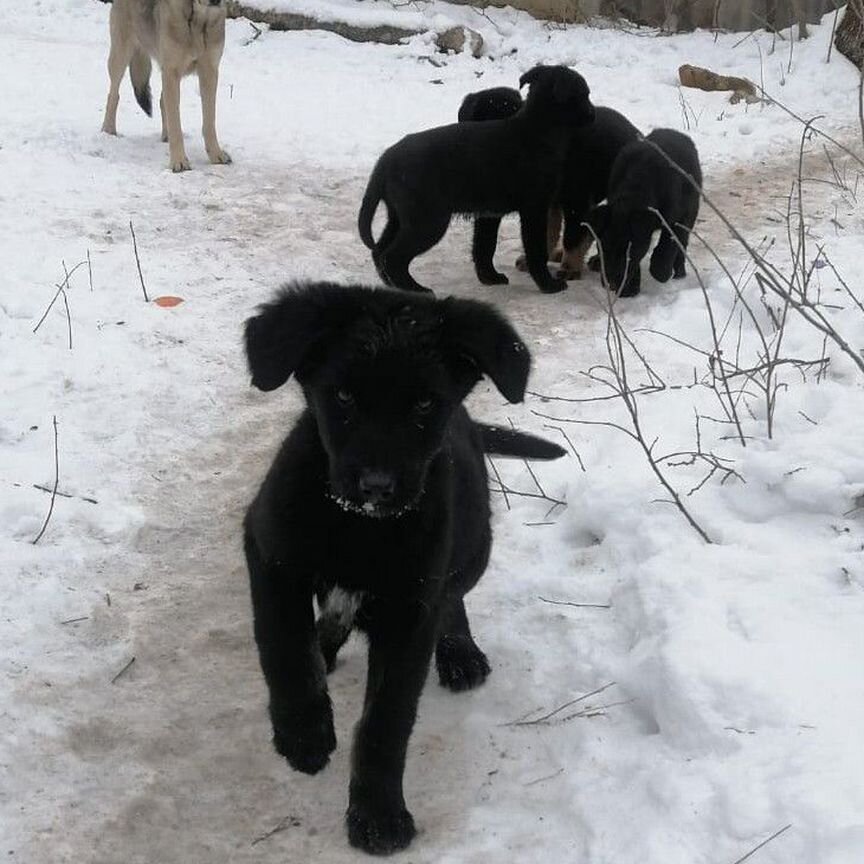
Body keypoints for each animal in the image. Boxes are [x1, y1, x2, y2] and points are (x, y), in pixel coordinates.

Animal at [101, 0, 231, 172]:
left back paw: (165, 135)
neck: (198, 17)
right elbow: (176, 124)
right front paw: (179, 161)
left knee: (163, 101)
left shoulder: (209, 72)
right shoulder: (171, 71)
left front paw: (216, 155)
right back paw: (108, 130)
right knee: (113, 94)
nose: (215, 2)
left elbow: (209, 121)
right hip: (120, 56)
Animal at [243, 282, 568, 852]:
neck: (357, 526)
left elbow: (386, 722)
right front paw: (303, 732)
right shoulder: (269, 551)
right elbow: (283, 647)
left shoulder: (410, 610)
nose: (377, 487)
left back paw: (459, 653)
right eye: (343, 397)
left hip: (471, 551)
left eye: (423, 403)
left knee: (452, 598)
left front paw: (378, 816)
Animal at [358, 66, 592, 296]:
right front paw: (548, 285)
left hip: (400, 216)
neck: (540, 127)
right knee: (393, 257)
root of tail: (385, 160)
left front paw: (490, 278)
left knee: (380, 250)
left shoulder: (490, 214)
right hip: (427, 220)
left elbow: (485, 246)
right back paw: (416, 289)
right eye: (584, 94)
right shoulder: (534, 208)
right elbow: (535, 249)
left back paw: (394, 287)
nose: (593, 114)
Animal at [588, 127, 704, 296]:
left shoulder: (673, 218)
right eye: (604, 247)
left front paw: (660, 271)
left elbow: (667, 245)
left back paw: (679, 271)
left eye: (629, 251)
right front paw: (631, 288)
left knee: (683, 240)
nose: (613, 284)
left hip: (690, 210)